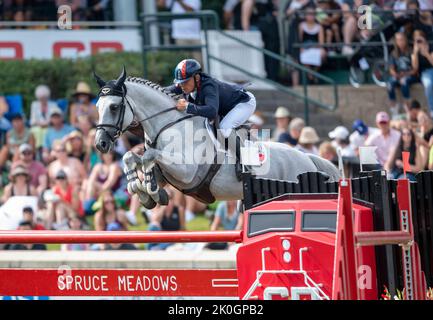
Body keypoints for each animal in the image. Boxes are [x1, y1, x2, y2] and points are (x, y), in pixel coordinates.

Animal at [93, 67, 340, 209]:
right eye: (97, 107)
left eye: (114, 107)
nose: (100, 143)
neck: (170, 125)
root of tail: (307, 158)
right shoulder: (167, 175)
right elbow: (131, 158)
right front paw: (141, 191)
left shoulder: (186, 172)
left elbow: (148, 156)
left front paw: (151, 192)